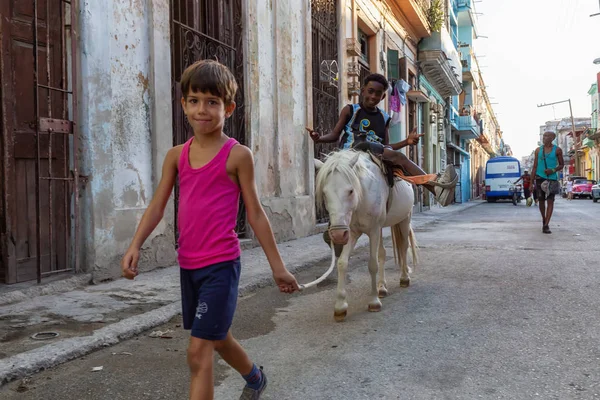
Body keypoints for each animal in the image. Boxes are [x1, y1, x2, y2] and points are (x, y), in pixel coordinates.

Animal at [314, 150, 418, 322]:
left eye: (350, 190)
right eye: (324, 193)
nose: (336, 234)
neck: (361, 197)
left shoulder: (373, 230)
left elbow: (372, 264)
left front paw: (374, 302)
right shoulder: (351, 232)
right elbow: (342, 263)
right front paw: (340, 306)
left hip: (404, 219)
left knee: (403, 247)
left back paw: (404, 278)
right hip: (382, 227)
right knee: (383, 253)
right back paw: (382, 287)